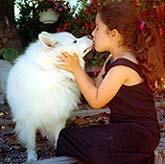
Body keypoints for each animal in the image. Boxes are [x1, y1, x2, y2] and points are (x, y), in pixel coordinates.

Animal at [6, 31, 93, 161]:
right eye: (74, 41)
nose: (90, 35)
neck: (54, 73)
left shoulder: (59, 116)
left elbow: (59, 135)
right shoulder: (28, 120)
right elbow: (31, 142)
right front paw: (32, 158)